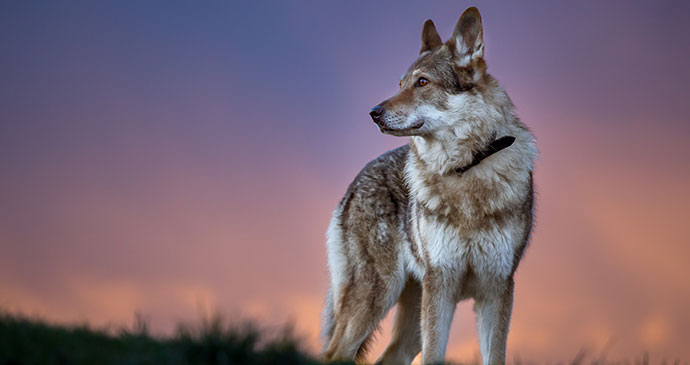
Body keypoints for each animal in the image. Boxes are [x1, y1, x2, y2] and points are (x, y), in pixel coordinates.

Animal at [320, 6, 536, 364]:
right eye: (400, 84)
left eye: (422, 82)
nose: (373, 112)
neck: (465, 168)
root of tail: (356, 180)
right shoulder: (441, 286)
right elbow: (435, 355)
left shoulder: (497, 289)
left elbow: (494, 356)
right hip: (377, 298)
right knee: (334, 353)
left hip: (409, 318)